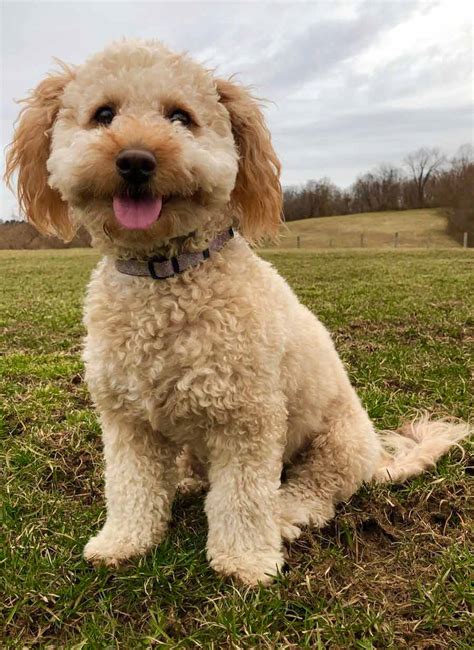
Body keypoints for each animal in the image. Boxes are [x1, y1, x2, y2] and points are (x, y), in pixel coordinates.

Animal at [6, 40, 470, 584]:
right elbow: (131, 487)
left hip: (336, 442)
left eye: (180, 117)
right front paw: (124, 541)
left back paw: (285, 513)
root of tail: (377, 456)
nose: (136, 160)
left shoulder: (248, 419)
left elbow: (242, 500)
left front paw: (245, 561)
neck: (164, 276)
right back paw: (185, 479)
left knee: (316, 492)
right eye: (104, 115)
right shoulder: (127, 422)